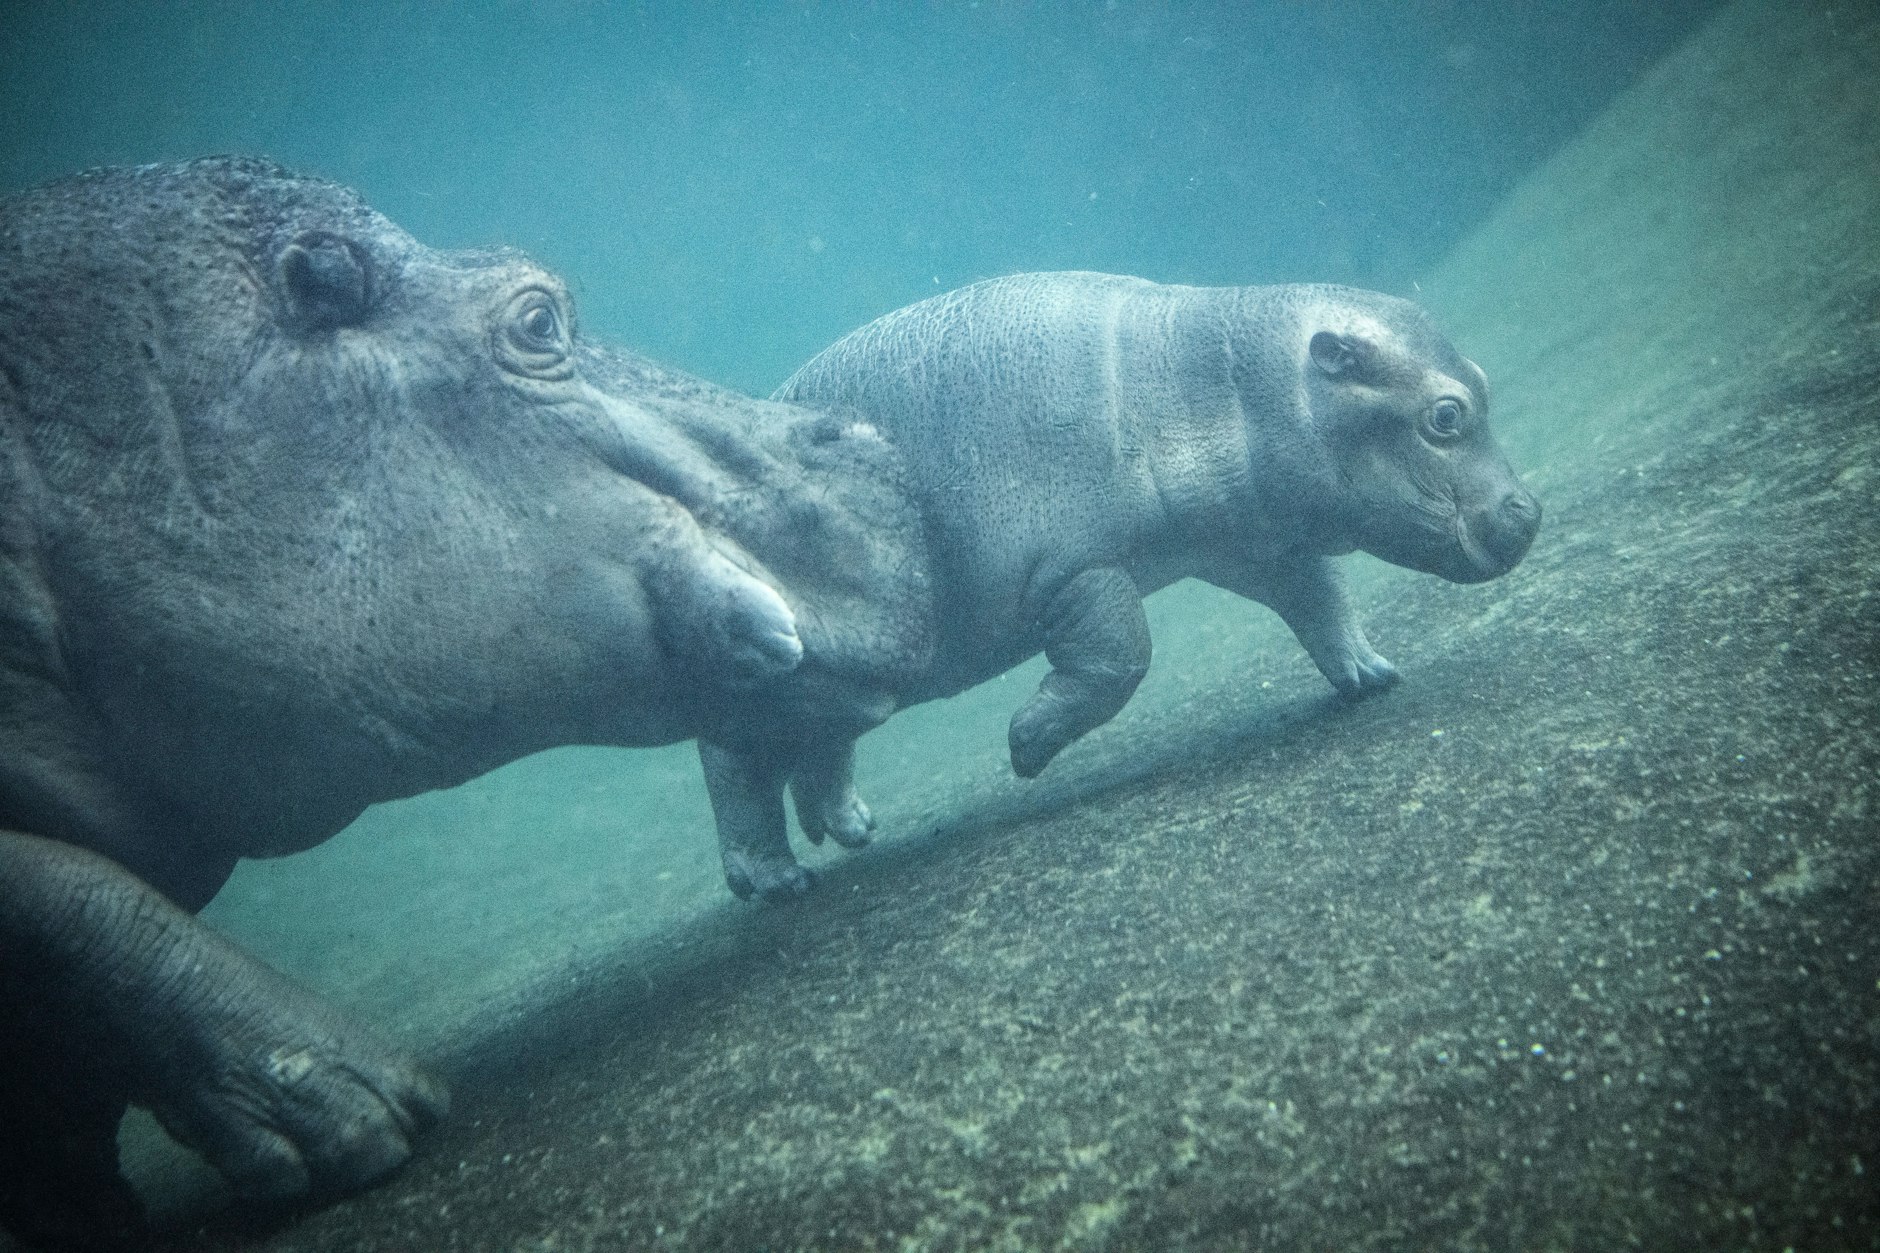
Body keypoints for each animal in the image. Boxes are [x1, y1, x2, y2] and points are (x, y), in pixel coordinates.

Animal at [698, 271, 1541, 898]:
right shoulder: (1077, 569)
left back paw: (849, 826)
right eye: (1445, 415)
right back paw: (776, 880)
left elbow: (1321, 598)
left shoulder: (1255, 536)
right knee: (733, 767)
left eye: (1482, 382)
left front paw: (1371, 674)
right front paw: (1025, 749)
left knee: (818, 744)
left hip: (842, 677)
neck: (1215, 376)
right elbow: (1120, 656)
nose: (1529, 513)